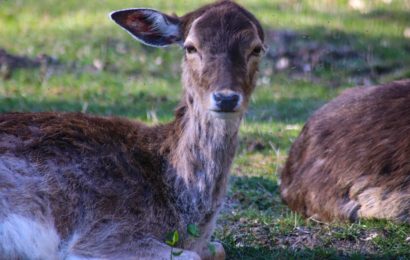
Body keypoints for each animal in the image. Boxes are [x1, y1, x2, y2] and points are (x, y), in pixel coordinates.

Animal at [0, 1, 266, 258]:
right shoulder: (105, 233)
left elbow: (219, 249)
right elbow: (194, 256)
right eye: (191, 47)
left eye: (257, 48)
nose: (226, 98)